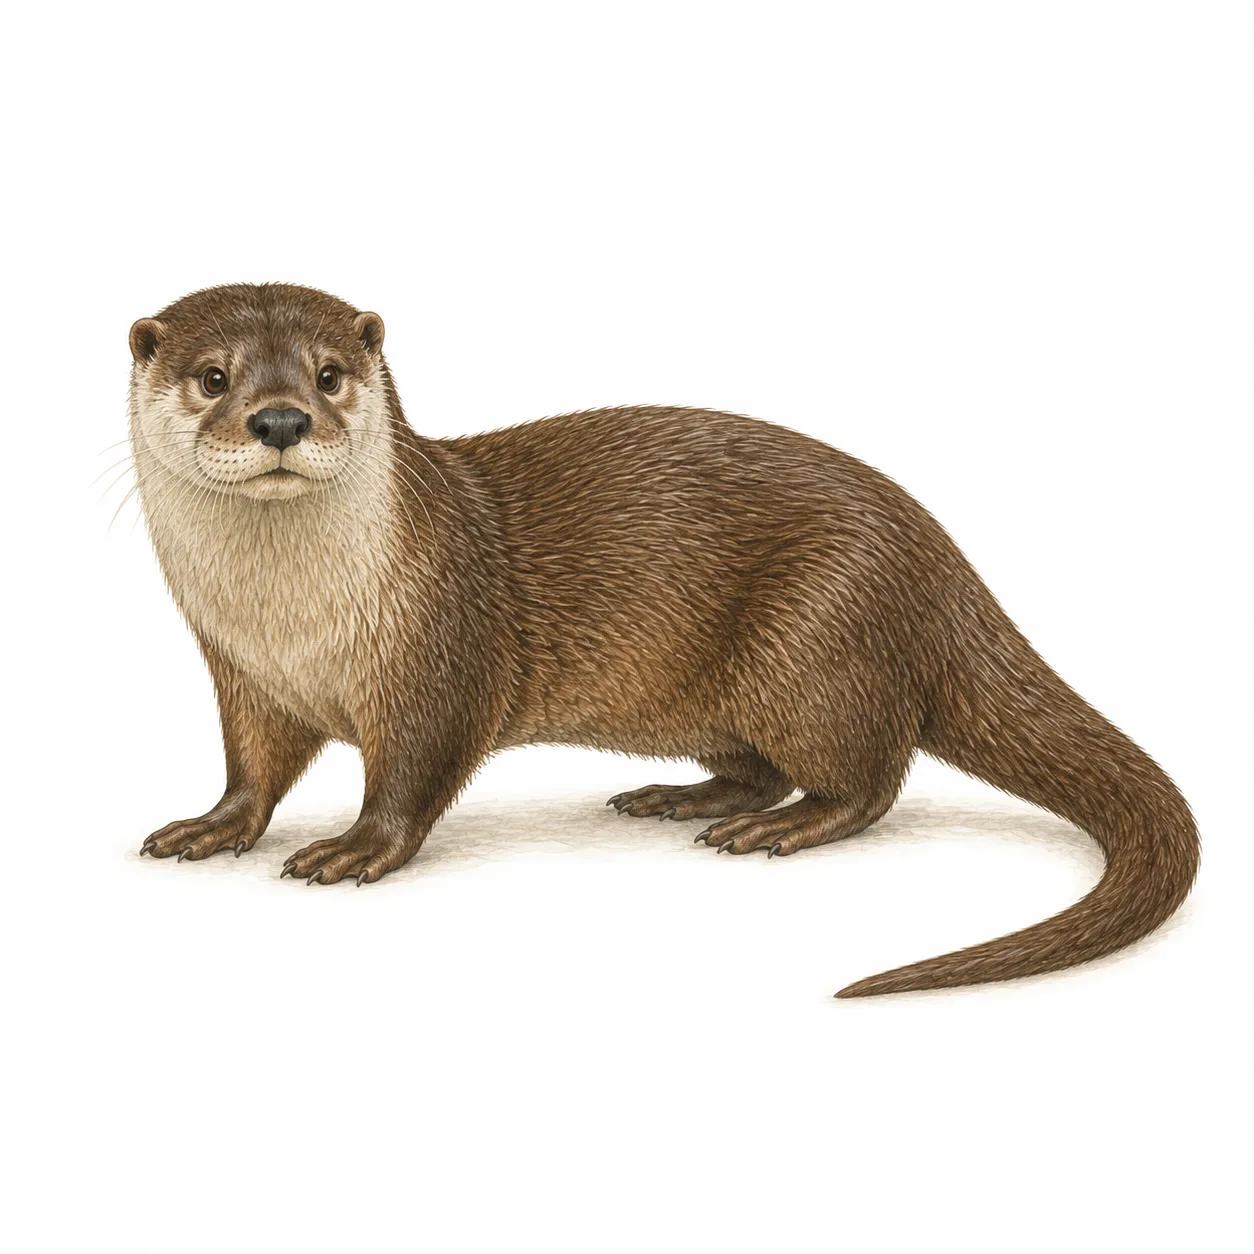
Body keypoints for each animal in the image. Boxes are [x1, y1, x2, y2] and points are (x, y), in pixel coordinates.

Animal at [128, 282, 1198, 997]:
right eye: (212, 377)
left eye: (330, 375)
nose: (279, 418)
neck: (294, 624)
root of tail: (937, 556)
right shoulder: (241, 673)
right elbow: (252, 768)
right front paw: (210, 827)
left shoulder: (443, 653)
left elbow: (413, 773)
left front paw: (352, 849)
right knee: (763, 767)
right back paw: (677, 797)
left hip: (814, 638)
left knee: (869, 775)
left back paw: (777, 829)